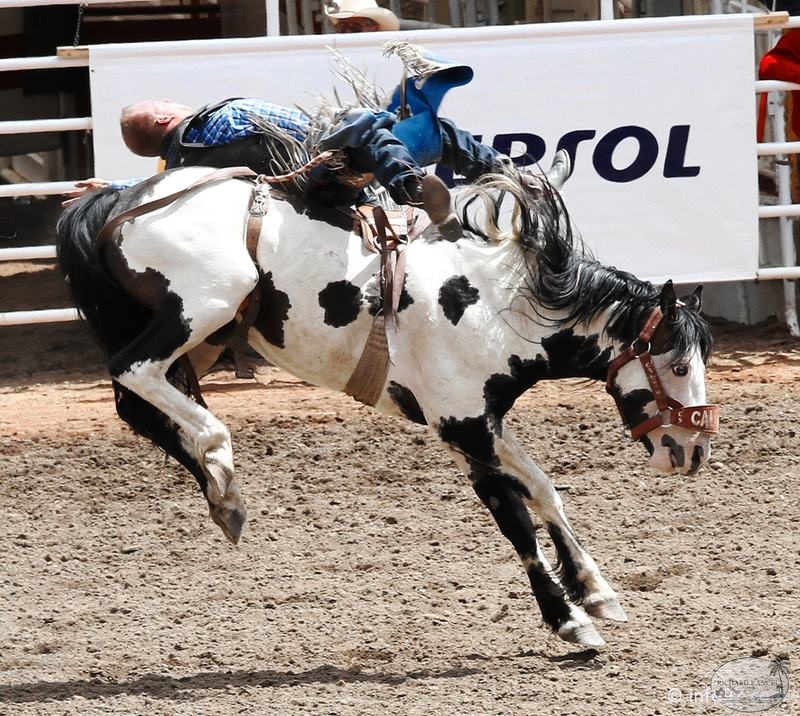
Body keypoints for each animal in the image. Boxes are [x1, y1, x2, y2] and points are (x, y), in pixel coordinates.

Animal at [56, 158, 720, 648]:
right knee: (135, 372)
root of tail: (118, 199)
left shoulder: (480, 420)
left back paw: (225, 499)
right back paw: (219, 458)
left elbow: (541, 489)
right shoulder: (462, 427)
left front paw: (595, 589)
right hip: (201, 309)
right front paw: (569, 621)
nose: (694, 451)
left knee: (137, 406)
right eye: (679, 365)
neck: (498, 304)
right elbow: (514, 517)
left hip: (200, 333)